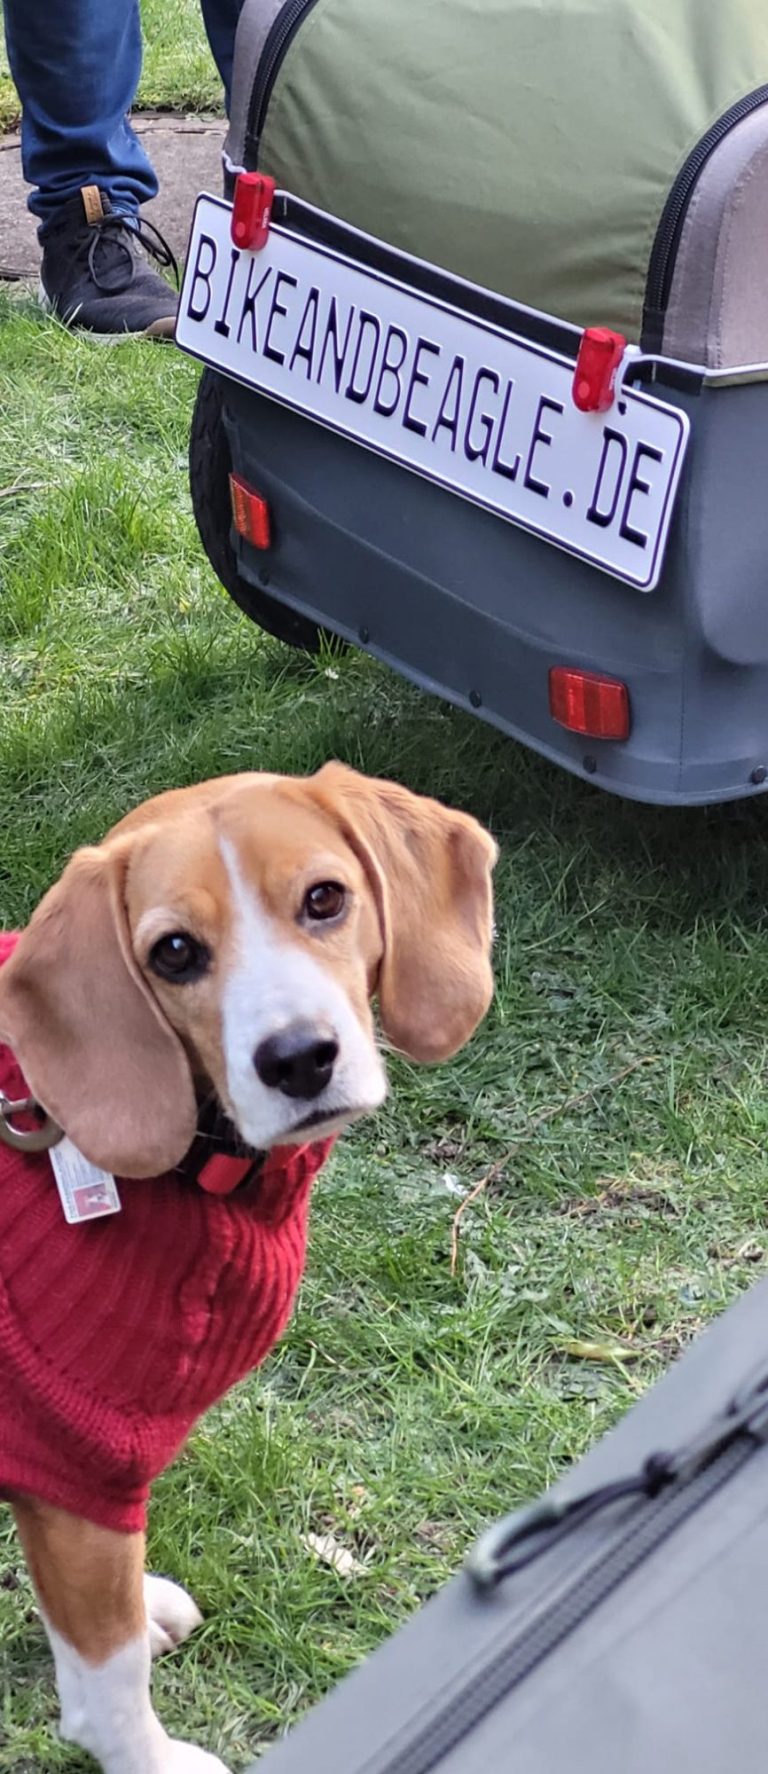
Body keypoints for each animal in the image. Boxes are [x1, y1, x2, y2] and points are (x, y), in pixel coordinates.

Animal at [0, 769, 493, 1774]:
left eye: (325, 899)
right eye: (175, 952)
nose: (299, 1058)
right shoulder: (76, 1462)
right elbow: (105, 1682)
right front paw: (149, 1761)